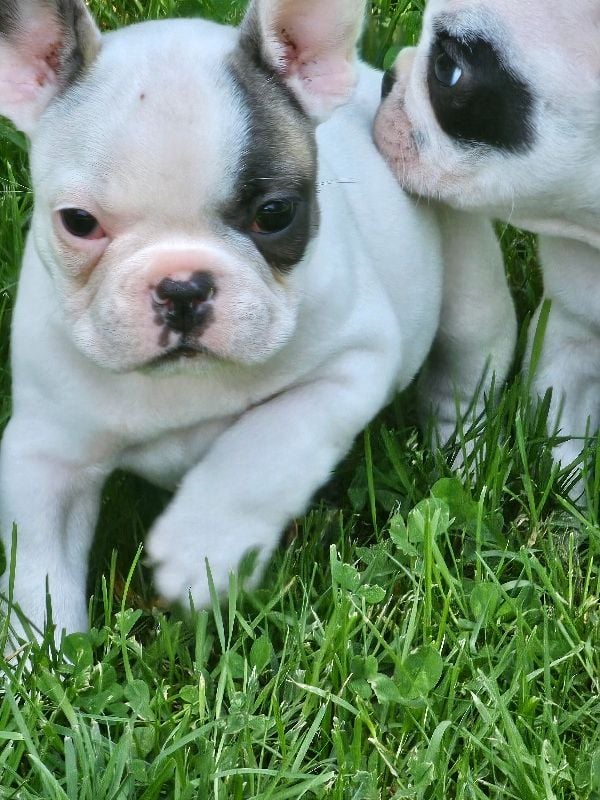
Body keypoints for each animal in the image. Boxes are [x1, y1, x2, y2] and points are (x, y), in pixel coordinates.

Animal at [0, 0, 505, 643]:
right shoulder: (46, 456)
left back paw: (461, 461)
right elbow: (37, 570)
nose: (183, 286)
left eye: (275, 213)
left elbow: (265, 448)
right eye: (78, 222)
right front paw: (43, 656)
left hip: (469, 284)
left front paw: (202, 549)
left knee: (468, 372)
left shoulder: (350, 364)